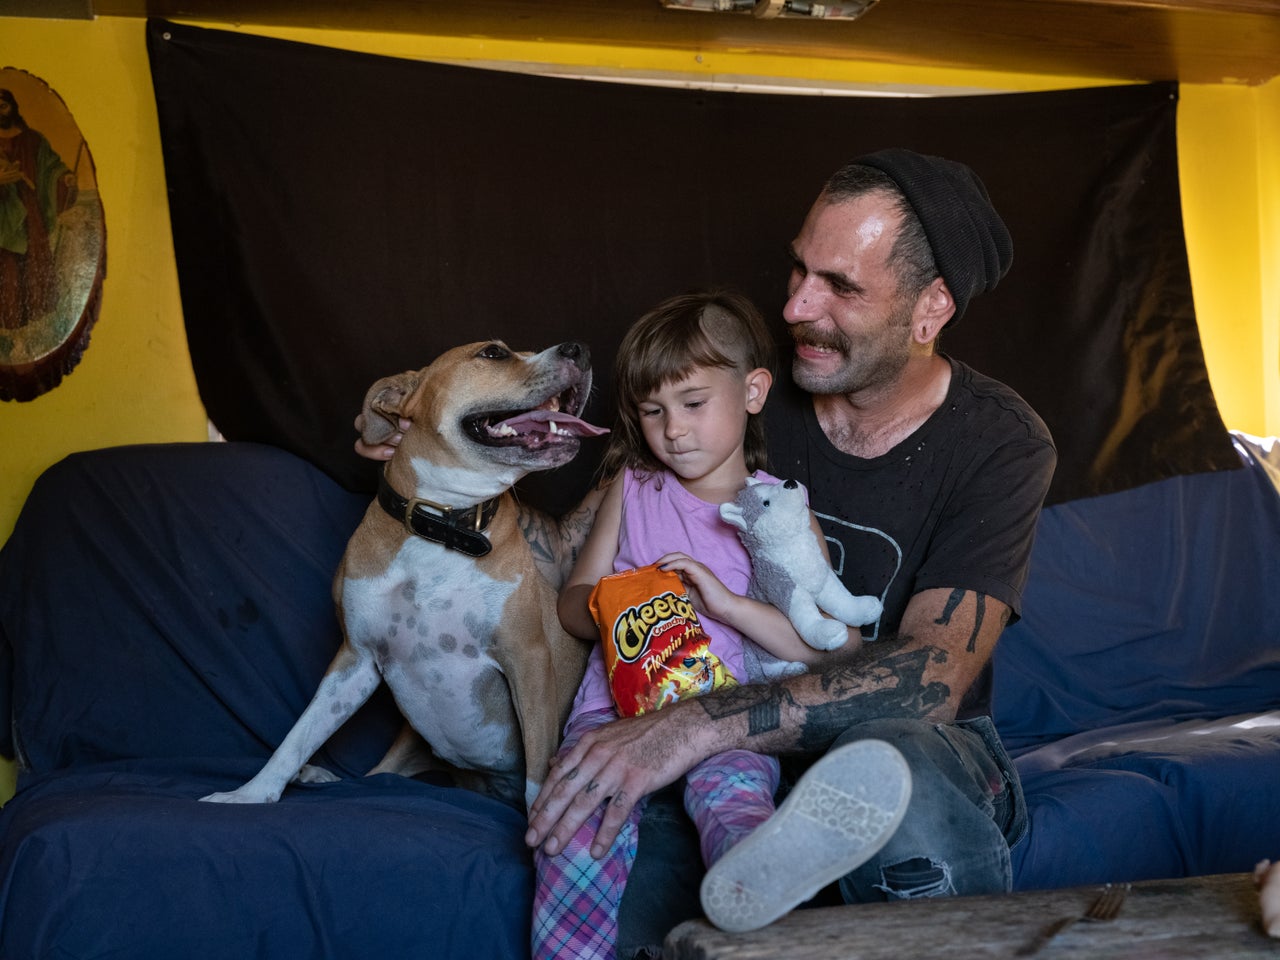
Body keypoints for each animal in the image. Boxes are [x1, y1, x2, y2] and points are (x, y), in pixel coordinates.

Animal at [203, 340, 604, 814]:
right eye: (494, 353)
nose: (579, 349)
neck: (441, 525)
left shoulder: (528, 660)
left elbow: (539, 776)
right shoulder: (354, 660)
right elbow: (298, 735)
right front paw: (250, 793)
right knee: (376, 774)